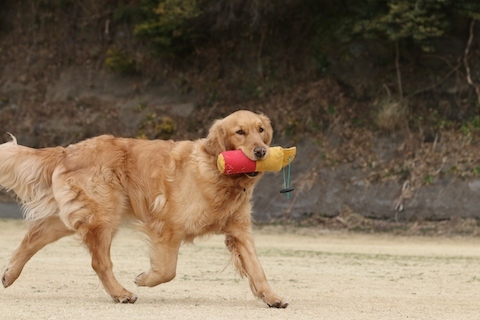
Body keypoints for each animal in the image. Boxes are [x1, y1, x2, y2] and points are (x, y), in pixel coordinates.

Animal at [0, 109, 288, 308]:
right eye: (240, 132)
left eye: (261, 129)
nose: (261, 151)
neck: (217, 172)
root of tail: (68, 150)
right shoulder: (168, 227)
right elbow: (168, 271)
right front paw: (143, 278)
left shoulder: (239, 232)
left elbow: (257, 269)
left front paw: (273, 297)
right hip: (104, 217)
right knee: (99, 262)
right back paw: (121, 294)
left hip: (75, 216)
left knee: (33, 237)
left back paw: (9, 274)